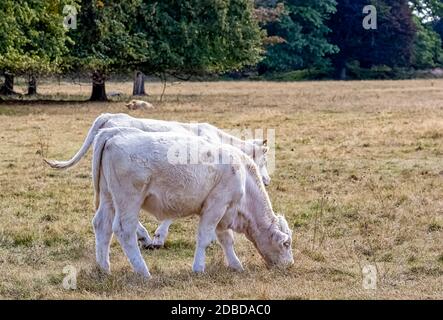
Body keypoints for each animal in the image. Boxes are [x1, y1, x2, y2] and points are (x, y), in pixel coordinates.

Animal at [92, 126, 294, 276]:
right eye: (286, 244)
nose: (290, 264)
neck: (243, 176)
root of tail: (115, 133)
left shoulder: (224, 214)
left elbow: (226, 239)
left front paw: (236, 265)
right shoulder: (216, 206)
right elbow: (204, 237)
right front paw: (198, 268)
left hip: (108, 198)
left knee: (102, 226)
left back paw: (104, 269)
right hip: (129, 201)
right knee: (124, 230)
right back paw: (144, 272)